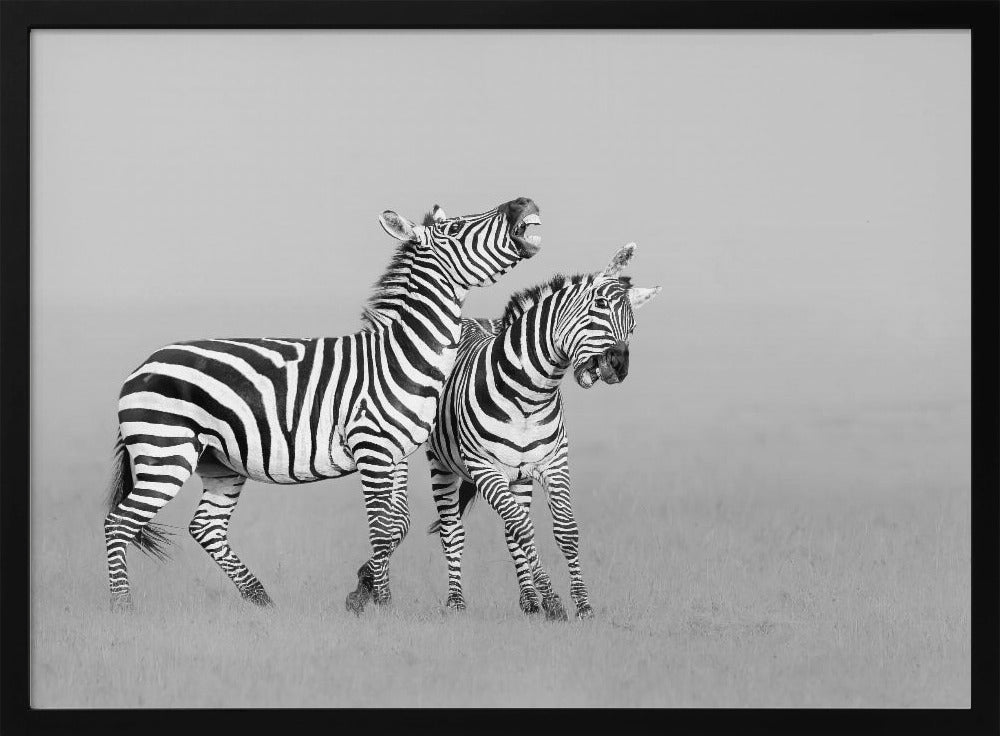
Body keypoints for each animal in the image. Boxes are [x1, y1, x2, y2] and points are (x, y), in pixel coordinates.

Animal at [103, 197, 542, 614]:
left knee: (205, 527)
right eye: (455, 229)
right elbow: (381, 527)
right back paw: (124, 607)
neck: (402, 354)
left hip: (219, 463)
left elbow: (397, 524)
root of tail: (141, 368)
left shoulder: (397, 454)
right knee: (118, 523)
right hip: (166, 453)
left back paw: (261, 599)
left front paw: (365, 589)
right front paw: (383, 604)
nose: (523, 203)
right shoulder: (372, 448)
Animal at [413, 242, 660, 620]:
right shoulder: (485, 469)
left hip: (520, 476)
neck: (530, 396)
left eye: (632, 326)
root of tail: (468, 320)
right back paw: (456, 601)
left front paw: (581, 604)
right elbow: (523, 528)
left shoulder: (552, 464)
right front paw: (555, 601)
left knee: (510, 529)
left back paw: (529, 599)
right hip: (441, 464)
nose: (619, 364)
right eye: (599, 307)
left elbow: (563, 531)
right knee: (453, 531)